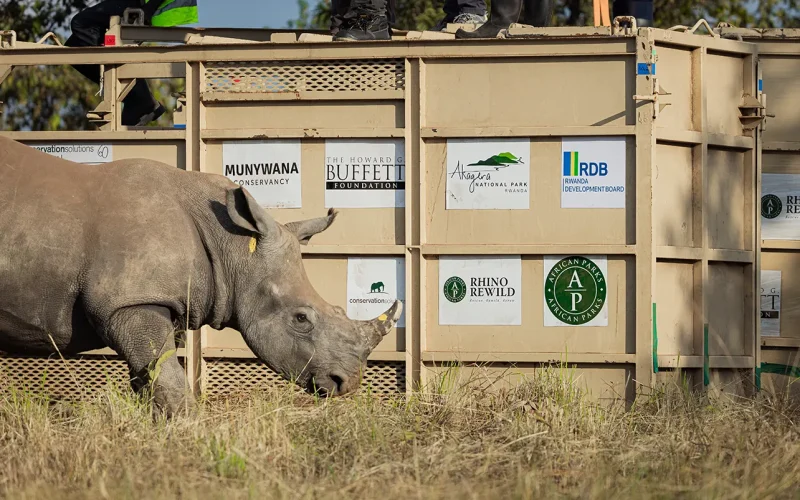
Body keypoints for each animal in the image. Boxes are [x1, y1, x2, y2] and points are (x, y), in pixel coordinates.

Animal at [0, 136, 401, 416]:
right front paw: (187, 433)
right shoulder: (130, 301)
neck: (233, 246)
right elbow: (170, 381)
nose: (347, 383)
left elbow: (152, 379)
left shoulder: (153, 301)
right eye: (301, 318)